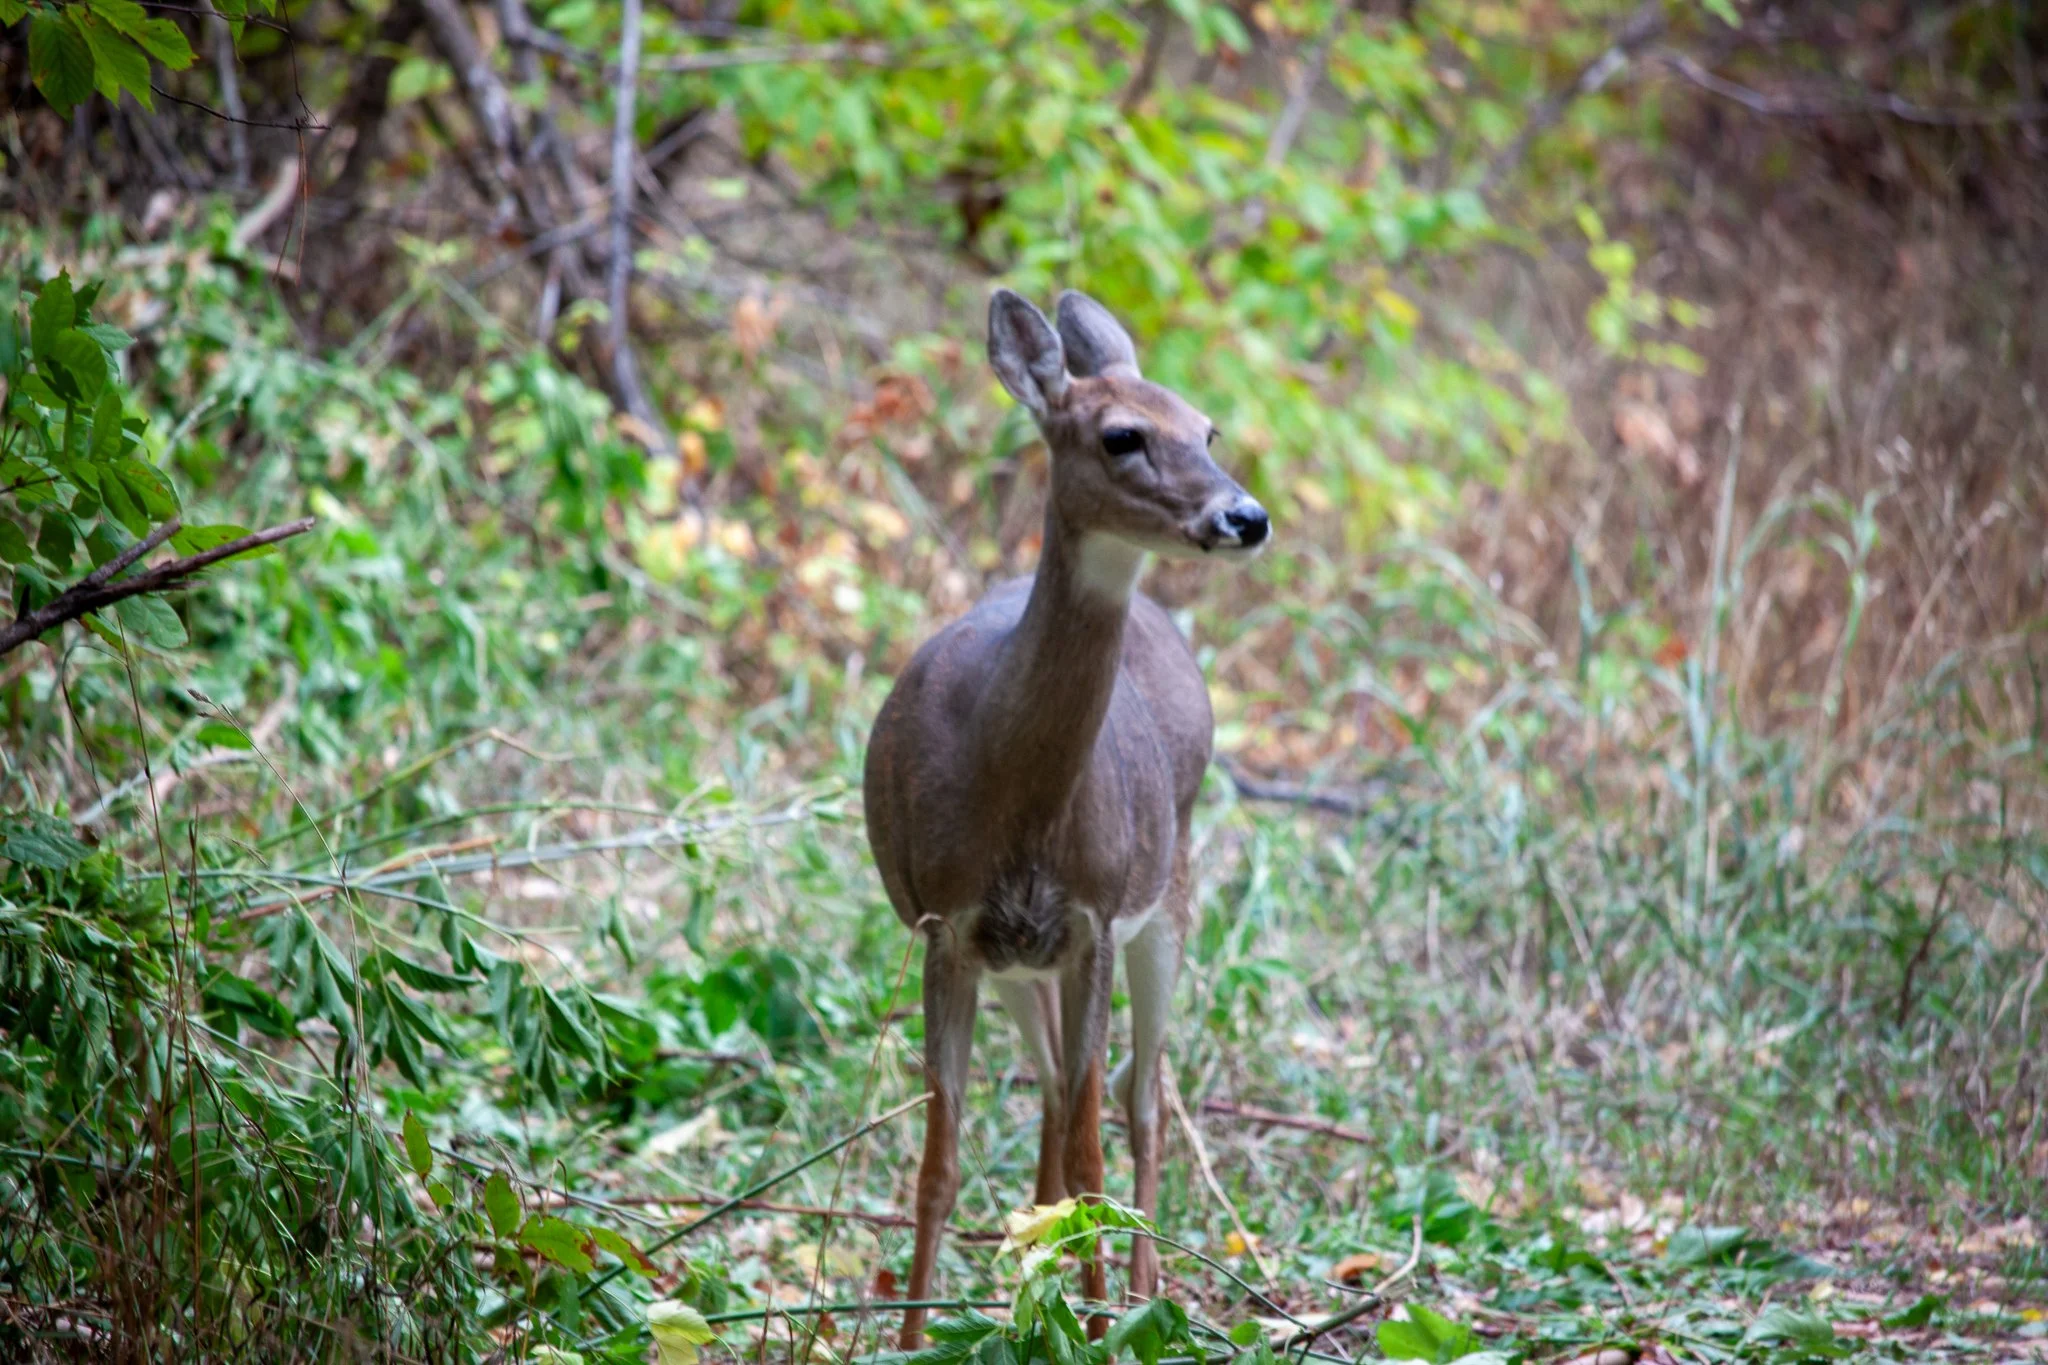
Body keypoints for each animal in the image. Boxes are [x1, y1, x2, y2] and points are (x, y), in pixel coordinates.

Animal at [863, 288, 1270, 1347]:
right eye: (1123, 434)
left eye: (1207, 427)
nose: (1245, 514)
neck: (1017, 793)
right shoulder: (951, 924)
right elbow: (937, 1162)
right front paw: (912, 1339)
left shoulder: (1094, 917)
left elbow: (1093, 1157)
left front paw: (1102, 1332)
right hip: (1021, 960)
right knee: (1055, 1085)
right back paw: (1033, 1277)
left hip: (1168, 893)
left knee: (1140, 1094)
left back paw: (1138, 1289)